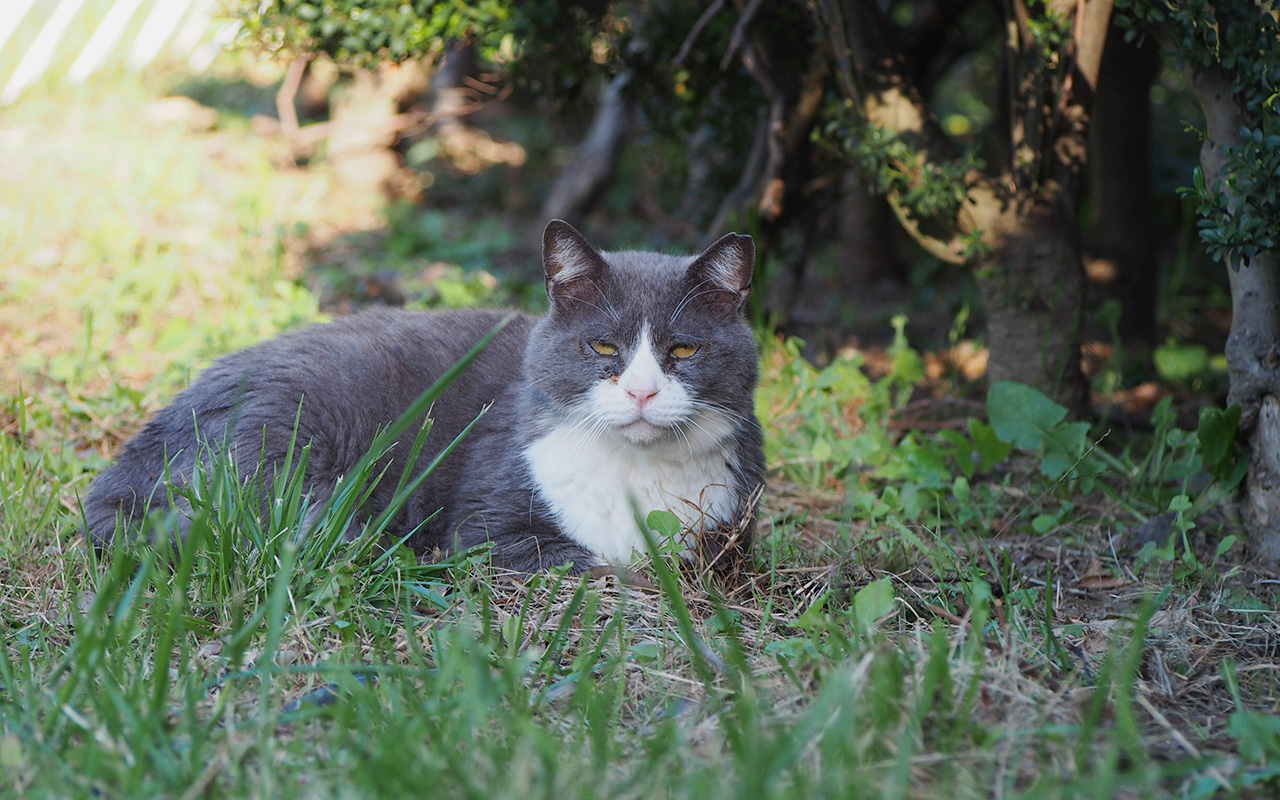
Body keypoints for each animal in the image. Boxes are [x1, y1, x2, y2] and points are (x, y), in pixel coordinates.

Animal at [85, 218, 762, 573]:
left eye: (683, 351)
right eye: (601, 346)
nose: (644, 392)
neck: (637, 474)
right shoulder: (495, 520)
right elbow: (585, 562)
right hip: (279, 436)